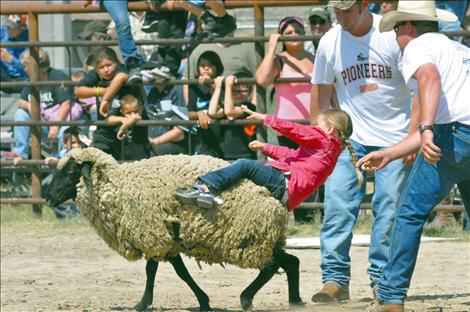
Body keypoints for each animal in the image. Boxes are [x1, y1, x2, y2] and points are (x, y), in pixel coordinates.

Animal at [46, 147, 304, 310]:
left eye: (70, 171)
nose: (48, 198)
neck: (119, 187)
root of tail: (276, 202)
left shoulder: (154, 234)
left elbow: (164, 272)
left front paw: (143, 304)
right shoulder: (166, 238)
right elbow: (170, 271)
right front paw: (200, 302)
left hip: (247, 240)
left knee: (271, 266)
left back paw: (246, 299)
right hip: (262, 240)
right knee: (291, 262)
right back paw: (295, 301)